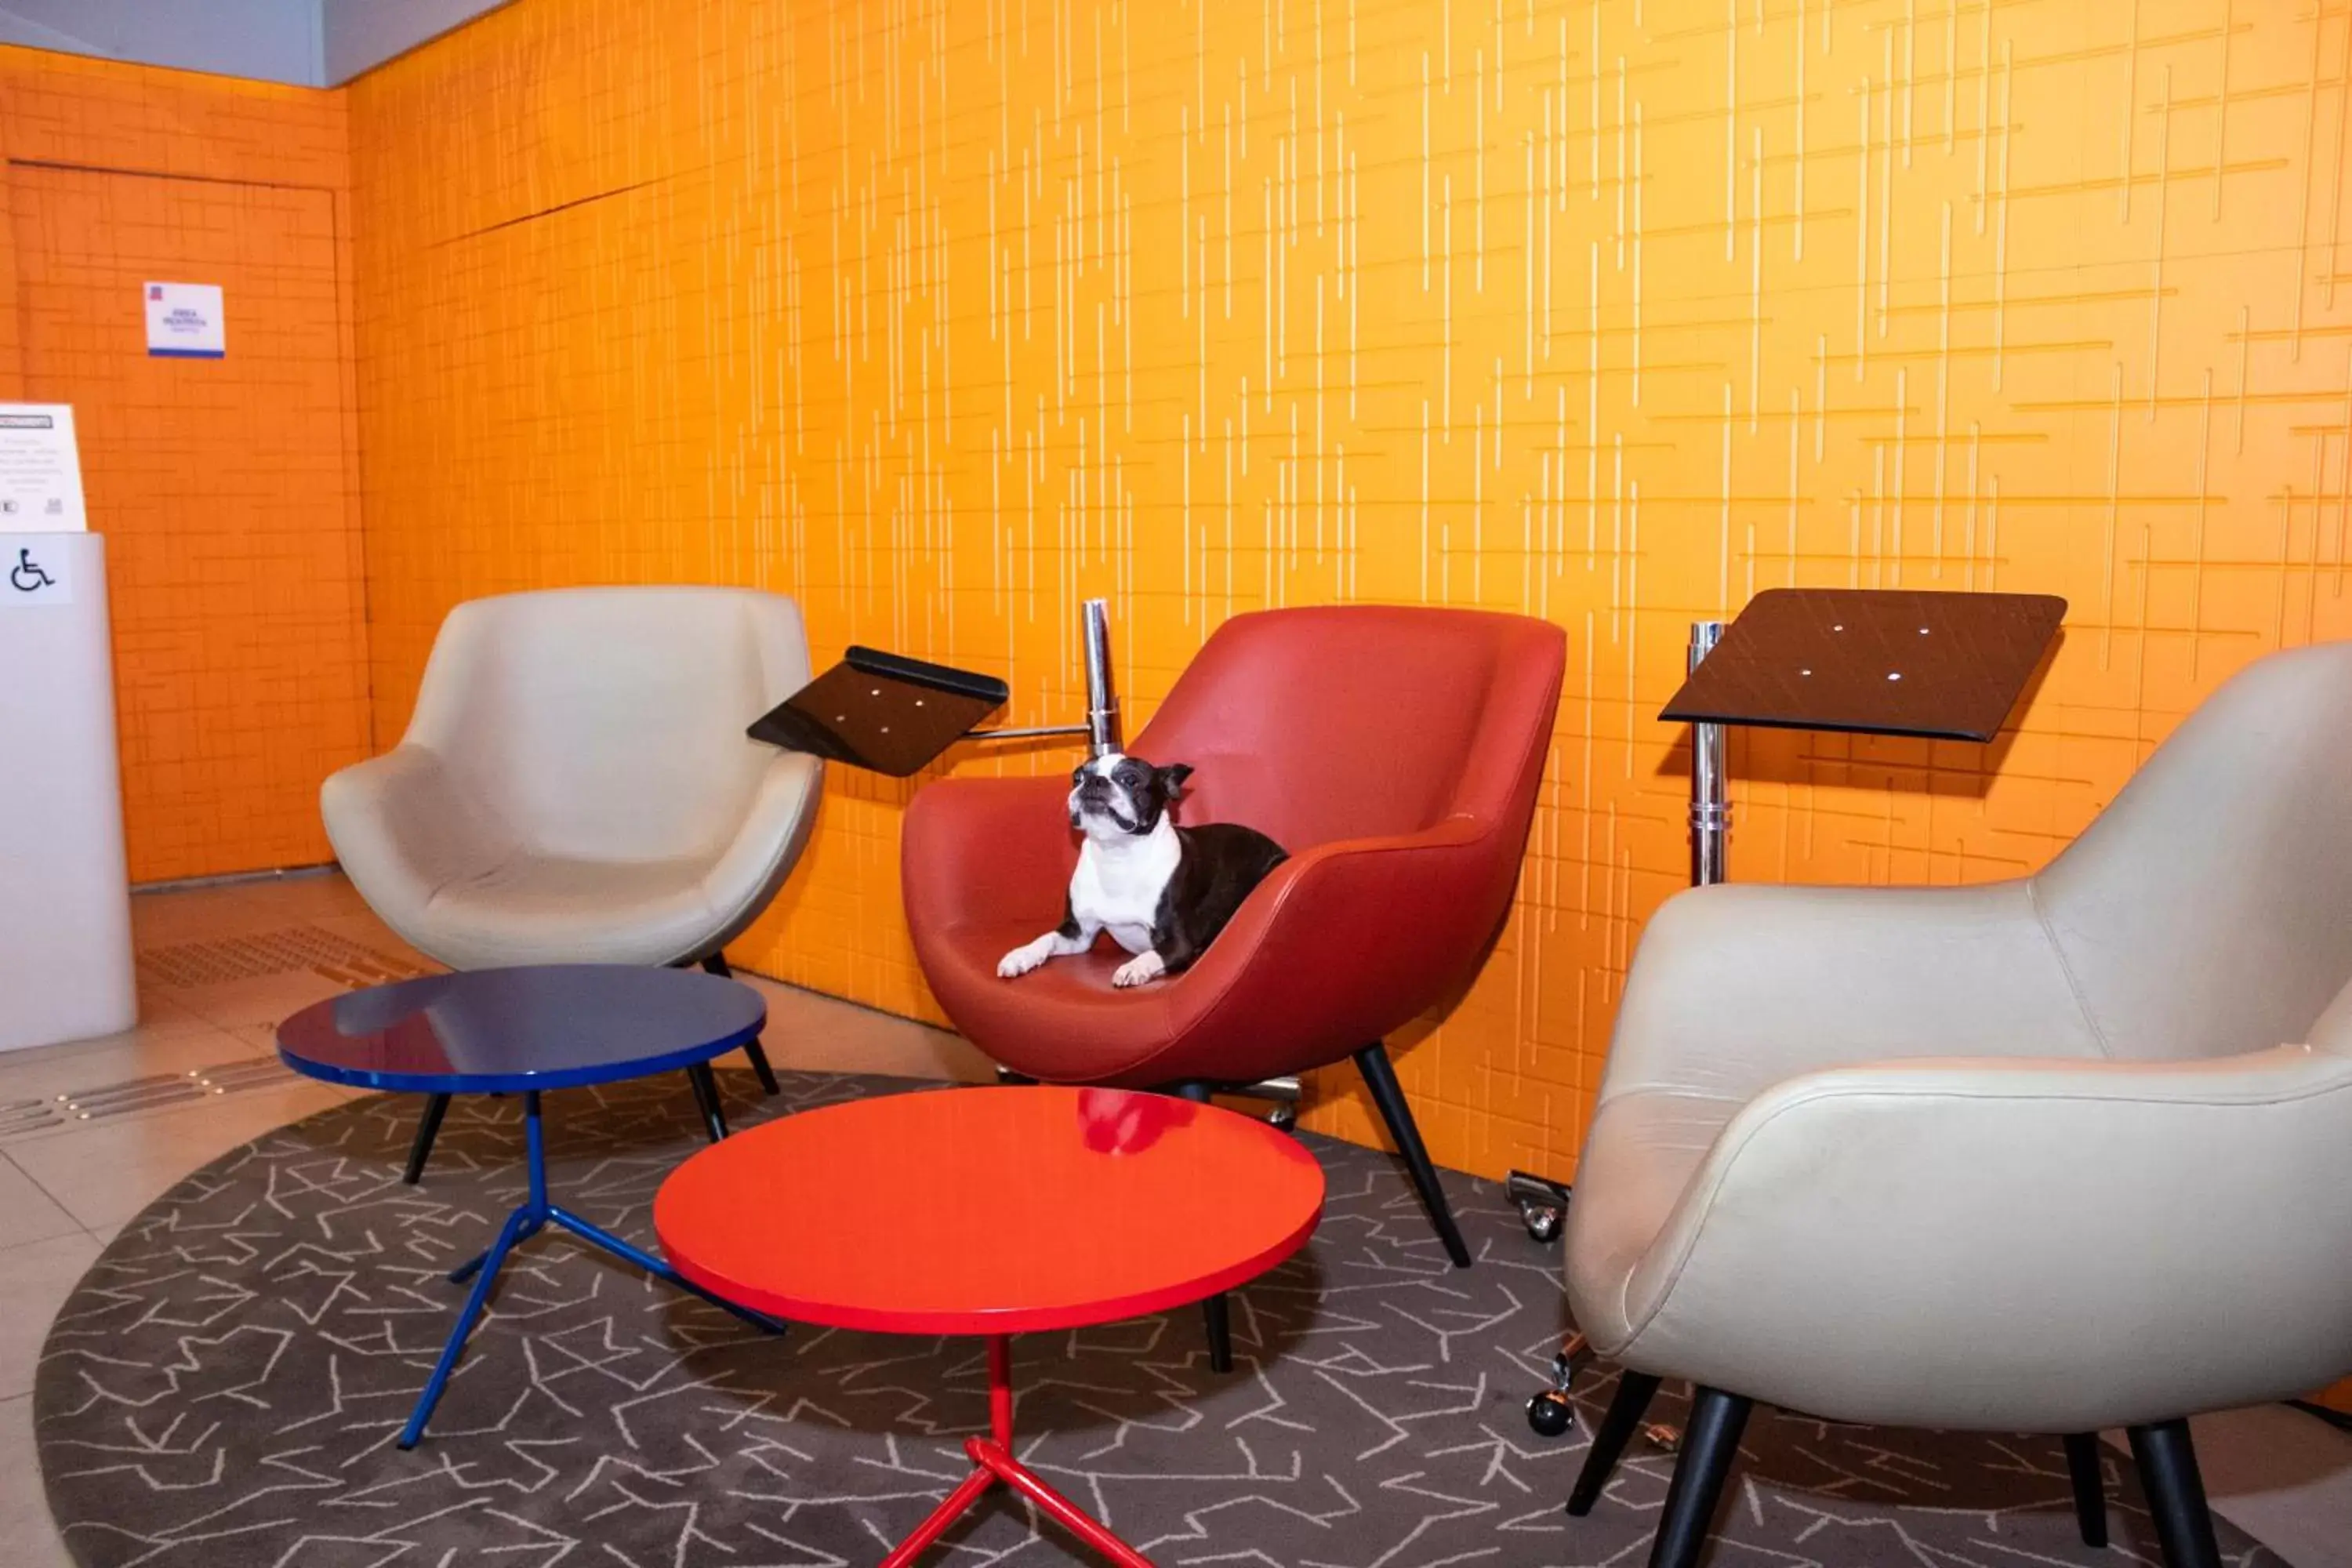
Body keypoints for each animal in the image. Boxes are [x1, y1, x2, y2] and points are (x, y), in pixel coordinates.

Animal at [993, 752, 1289, 987]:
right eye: (1077, 777)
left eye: (1131, 780)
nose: (1094, 781)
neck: (1118, 856)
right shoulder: (1078, 934)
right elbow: (1047, 938)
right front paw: (1021, 955)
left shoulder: (1178, 943)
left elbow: (1152, 954)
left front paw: (1133, 967)